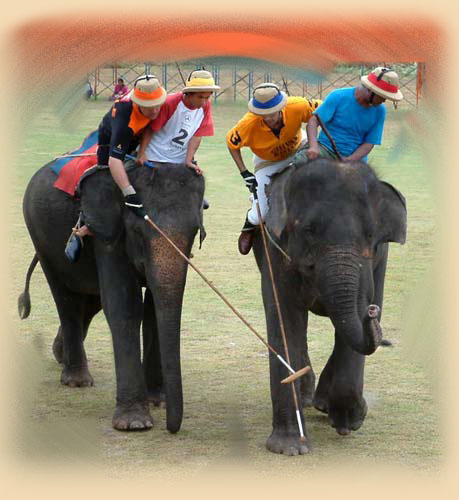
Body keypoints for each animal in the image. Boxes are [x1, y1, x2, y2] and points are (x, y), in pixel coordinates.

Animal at [18, 161, 205, 434]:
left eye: (195, 232)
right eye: (137, 231)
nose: (171, 428)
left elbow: (151, 310)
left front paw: (157, 400)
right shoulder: (107, 234)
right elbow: (123, 304)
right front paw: (134, 423)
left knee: (90, 299)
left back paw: (60, 354)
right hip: (41, 238)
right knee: (66, 299)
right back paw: (77, 380)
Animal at [253, 158, 408, 456]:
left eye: (370, 234)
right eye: (309, 231)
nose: (373, 312)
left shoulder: (376, 260)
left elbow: (353, 324)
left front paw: (349, 421)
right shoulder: (275, 246)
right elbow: (283, 316)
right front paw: (290, 448)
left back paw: (325, 403)